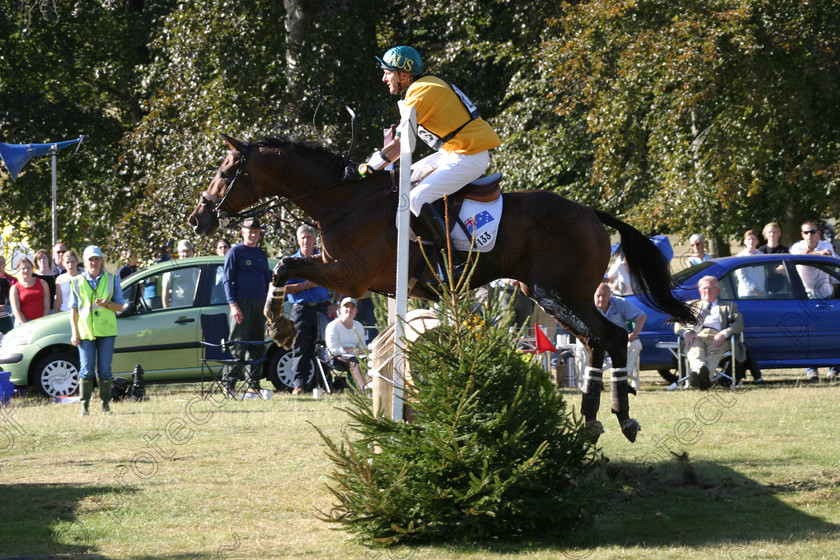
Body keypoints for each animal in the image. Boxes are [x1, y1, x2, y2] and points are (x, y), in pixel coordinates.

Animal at [190, 135, 696, 442]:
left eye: (226, 171)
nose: (199, 218)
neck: (346, 201)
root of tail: (591, 213)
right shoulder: (341, 275)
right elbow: (288, 270)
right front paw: (281, 326)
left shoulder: (349, 275)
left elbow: (285, 266)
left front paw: (277, 325)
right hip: (550, 296)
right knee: (596, 340)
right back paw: (593, 420)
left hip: (557, 293)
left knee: (609, 337)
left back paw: (620, 416)